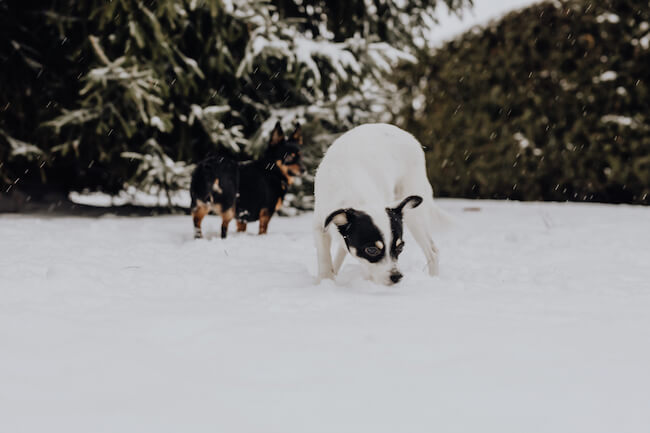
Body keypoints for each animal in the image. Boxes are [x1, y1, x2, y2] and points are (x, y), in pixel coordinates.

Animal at [312, 122, 442, 284]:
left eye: (400, 248)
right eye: (372, 250)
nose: (397, 277)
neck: (353, 192)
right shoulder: (320, 225)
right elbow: (325, 258)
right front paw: (326, 280)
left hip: (415, 213)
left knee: (433, 251)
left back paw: (434, 279)